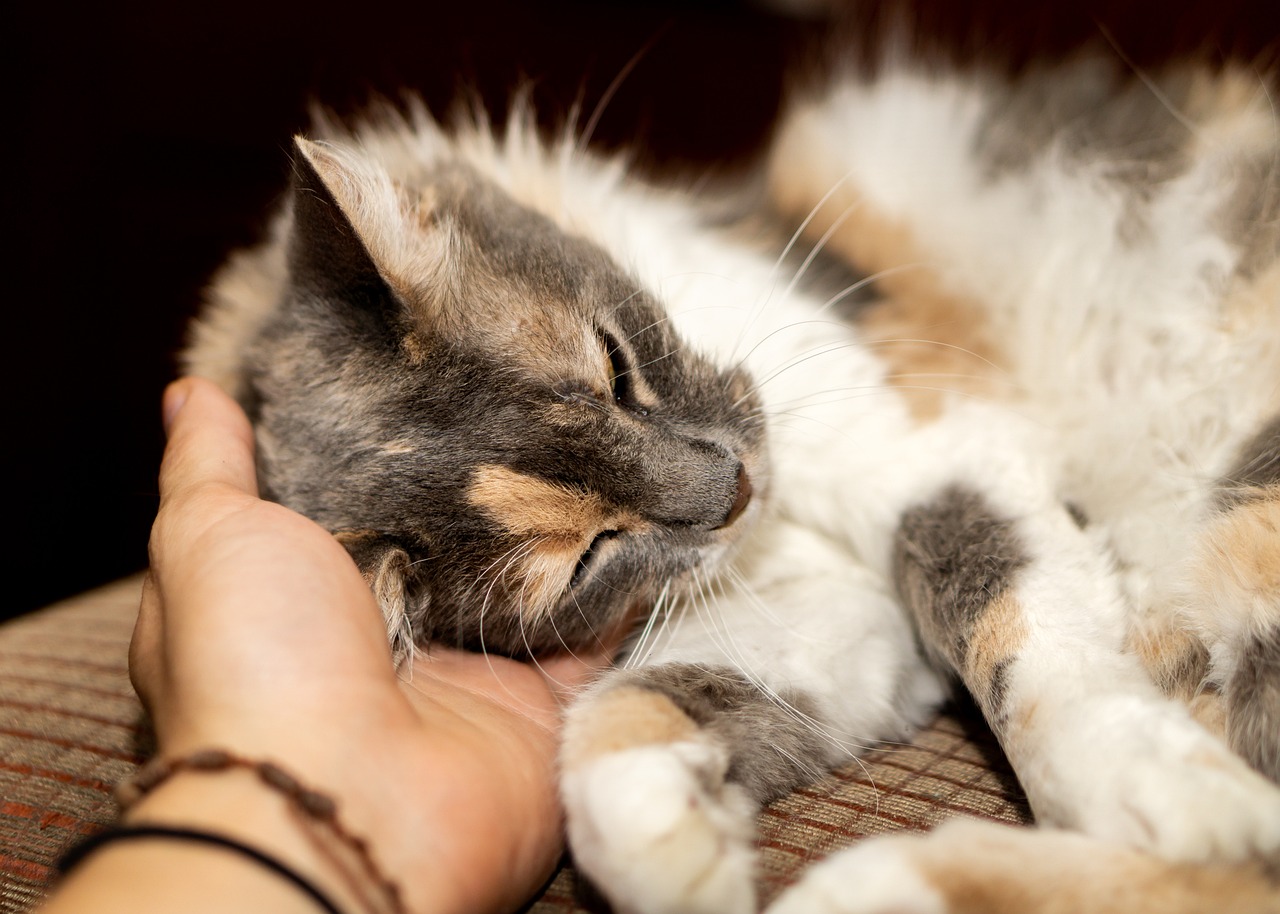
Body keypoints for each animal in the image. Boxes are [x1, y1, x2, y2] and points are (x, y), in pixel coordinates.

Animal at [185, 46, 1280, 911]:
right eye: (587, 556)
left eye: (614, 366)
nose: (734, 489)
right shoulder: (834, 608)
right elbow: (625, 727)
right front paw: (683, 844)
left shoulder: (932, 444)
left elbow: (1021, 646)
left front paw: (1155, 786)